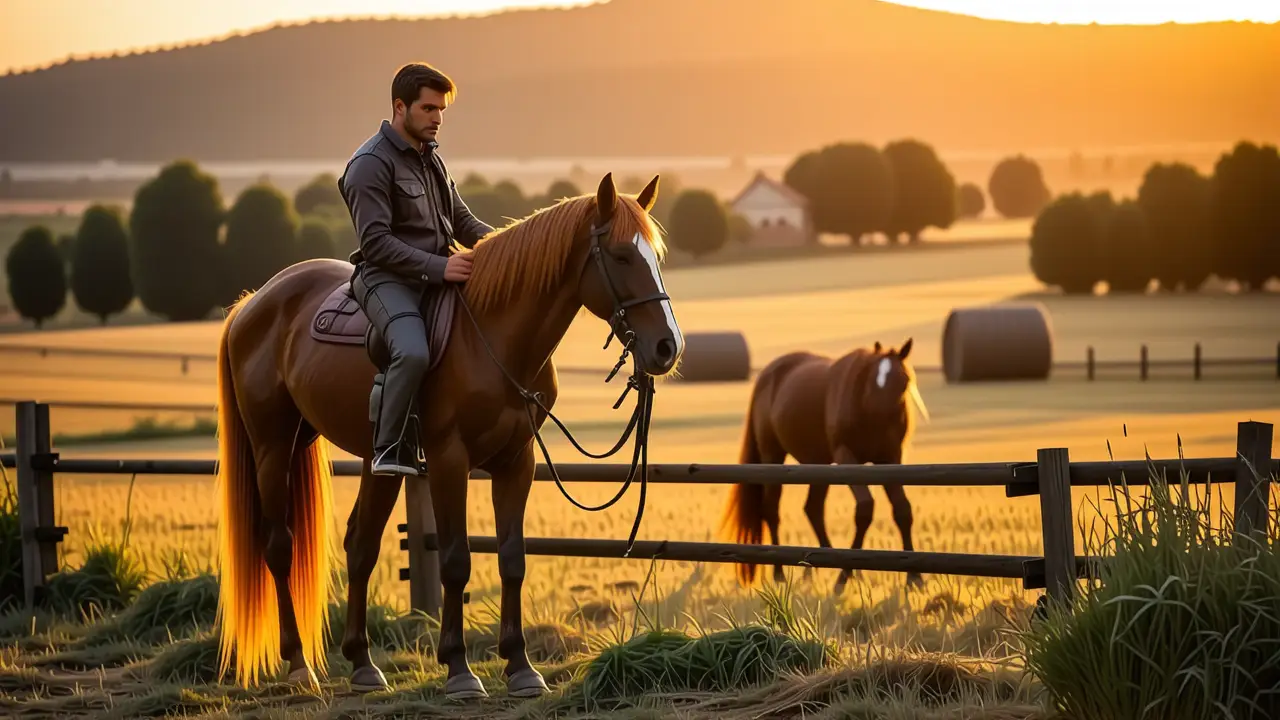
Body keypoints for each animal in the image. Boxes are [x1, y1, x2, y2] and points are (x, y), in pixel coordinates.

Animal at [213, 173, 684, 700]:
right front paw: (459, 669)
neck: (492, 338)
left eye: (655, 256)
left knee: (361, 546)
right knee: (279, 546)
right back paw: (298, 664)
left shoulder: (516, 462)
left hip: (374, 459)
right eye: (622, 255)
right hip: (273, 447)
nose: (667, 347)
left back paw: (362, 664)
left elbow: (513, 558)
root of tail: (253, 302)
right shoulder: (448, 460)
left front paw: (521, 666)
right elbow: (456, 560)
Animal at [718, 339, 929, 594]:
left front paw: (915, 576)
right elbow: (865, 508)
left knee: (813, 509)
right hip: (772, 457)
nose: (882, 420)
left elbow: (902, 510)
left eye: (904, 380)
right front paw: (844, 575)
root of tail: (767, 374)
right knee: (772, 510)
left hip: (818, 463)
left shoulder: (890, 460)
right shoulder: (846, 457)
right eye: (873, 380)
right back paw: (780, 573)